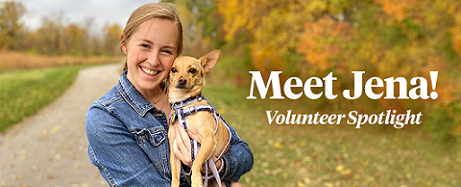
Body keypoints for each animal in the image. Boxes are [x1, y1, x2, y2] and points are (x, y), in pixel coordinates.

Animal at [168, 49, 232, 187]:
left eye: (192, 70)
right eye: (173, 69)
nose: (181, 80)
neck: (184, 105)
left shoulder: (209, 140)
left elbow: (196, 161)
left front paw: (196, 179)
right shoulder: (174, 153)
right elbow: (175, 177)